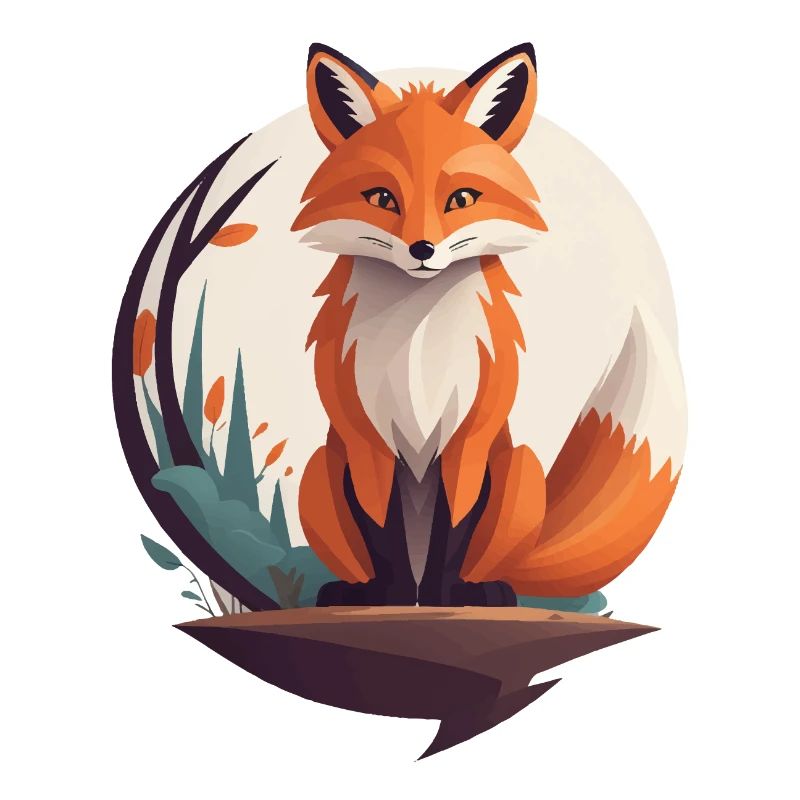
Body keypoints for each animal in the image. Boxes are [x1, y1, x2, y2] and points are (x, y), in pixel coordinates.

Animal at [292, 42, 686, 606]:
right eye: (382, 199)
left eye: (461, 200)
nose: (422, 249)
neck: (417, 341)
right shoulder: (366, 440)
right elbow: (382, 530)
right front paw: (392, 598)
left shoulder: (470, 437)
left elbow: (455, 529)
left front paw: (444, 598)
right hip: (316, 473)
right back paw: (356, 590)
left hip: (520, 467)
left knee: (495, 562)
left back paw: (486, 589)